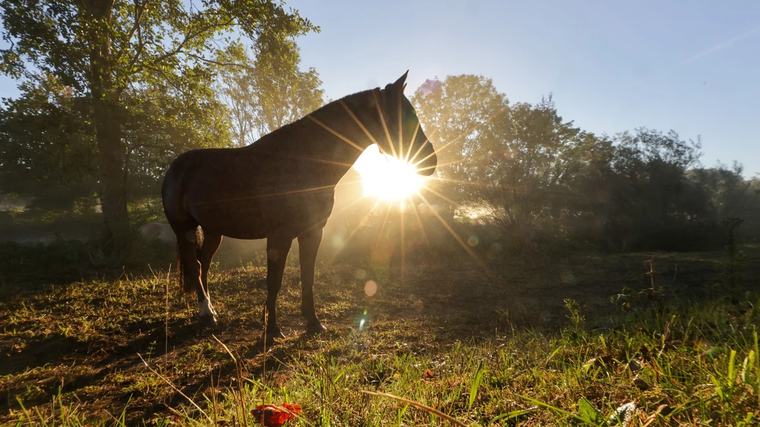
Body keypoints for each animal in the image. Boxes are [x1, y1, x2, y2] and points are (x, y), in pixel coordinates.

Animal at [161, 72, 437, 341]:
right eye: (401, 116)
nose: (430, 161)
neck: (303, 161)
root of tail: (175, 167)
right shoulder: (279, 236)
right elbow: (274, 281)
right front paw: (272, 329)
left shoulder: (312, 232)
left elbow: (308, 276)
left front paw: (313, 323)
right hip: (184, 229)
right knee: (195, 265)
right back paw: (207, 314)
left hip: (213, 231)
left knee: (202, 265)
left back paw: (210, 309)